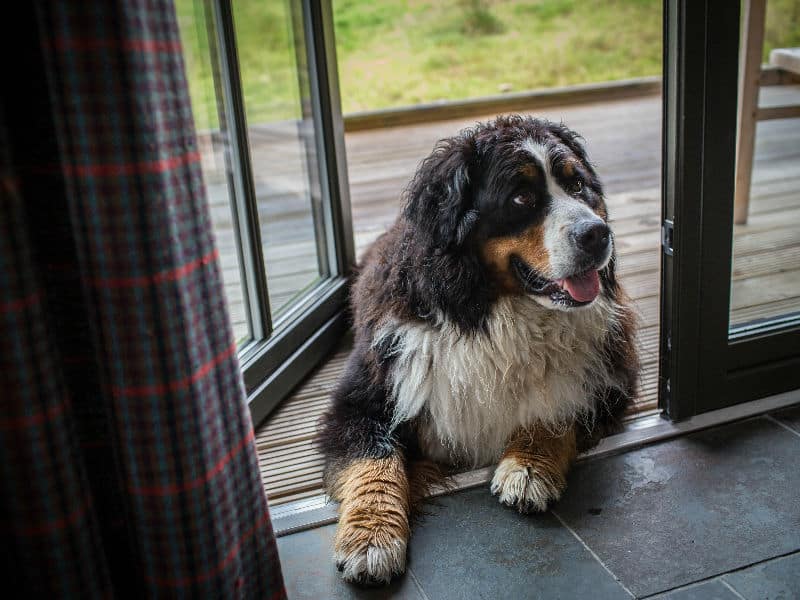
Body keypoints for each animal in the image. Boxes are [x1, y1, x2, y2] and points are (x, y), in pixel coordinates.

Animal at [318, 115, 636, 584]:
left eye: (578, 185)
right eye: (522, 197)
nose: (598, 233)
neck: (488, 314)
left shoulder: (609, 374)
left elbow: (558, 404)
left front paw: (528, 466)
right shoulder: (361, 398)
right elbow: (375, 461)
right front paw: (371, 539)